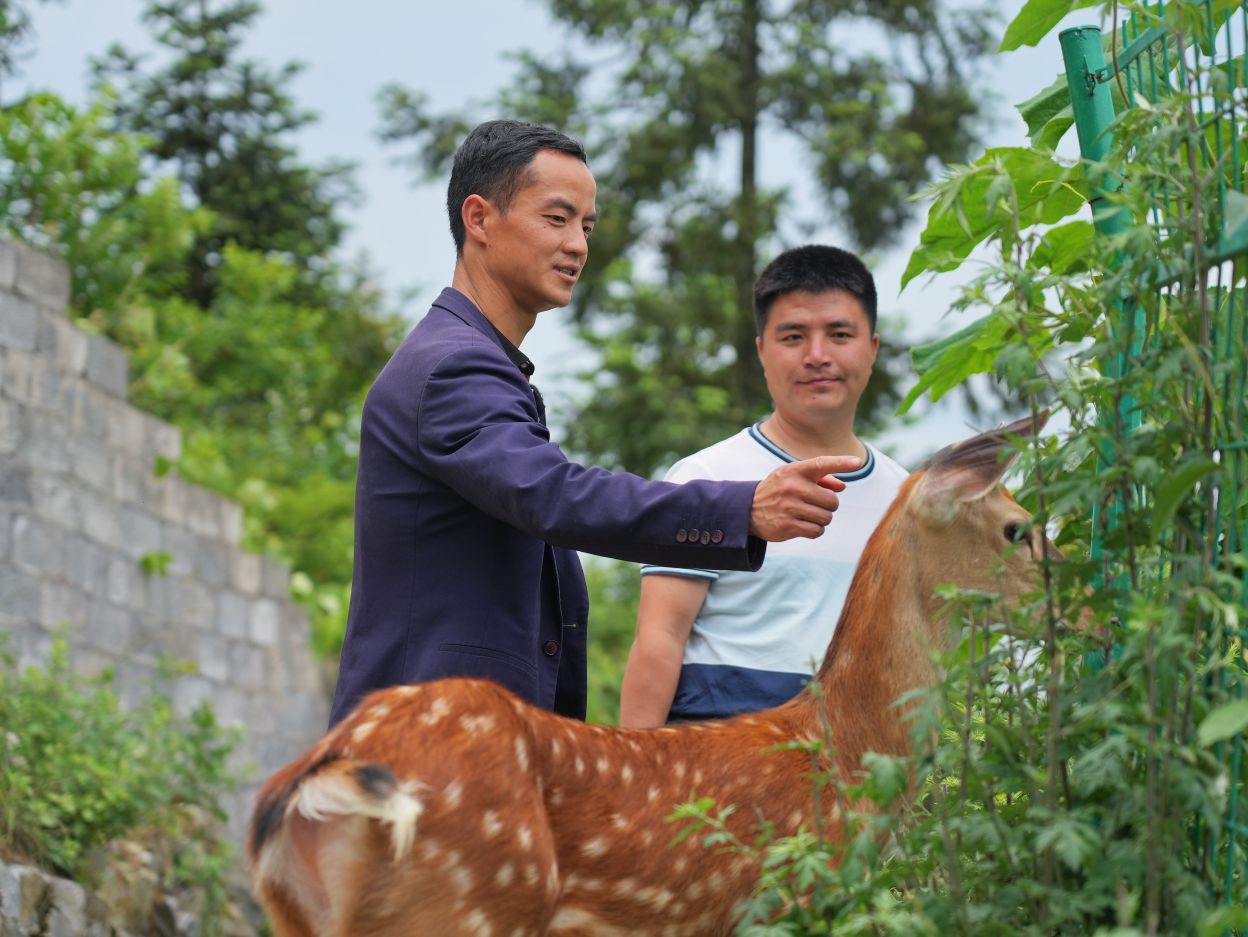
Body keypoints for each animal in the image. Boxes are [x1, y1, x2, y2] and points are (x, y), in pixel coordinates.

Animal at [250, 416, 1063, 937]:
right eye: (1018, 529)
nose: (1080, 605)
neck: (842, 752)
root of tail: (323, 775)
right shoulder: (791, 901)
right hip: (466, 901)